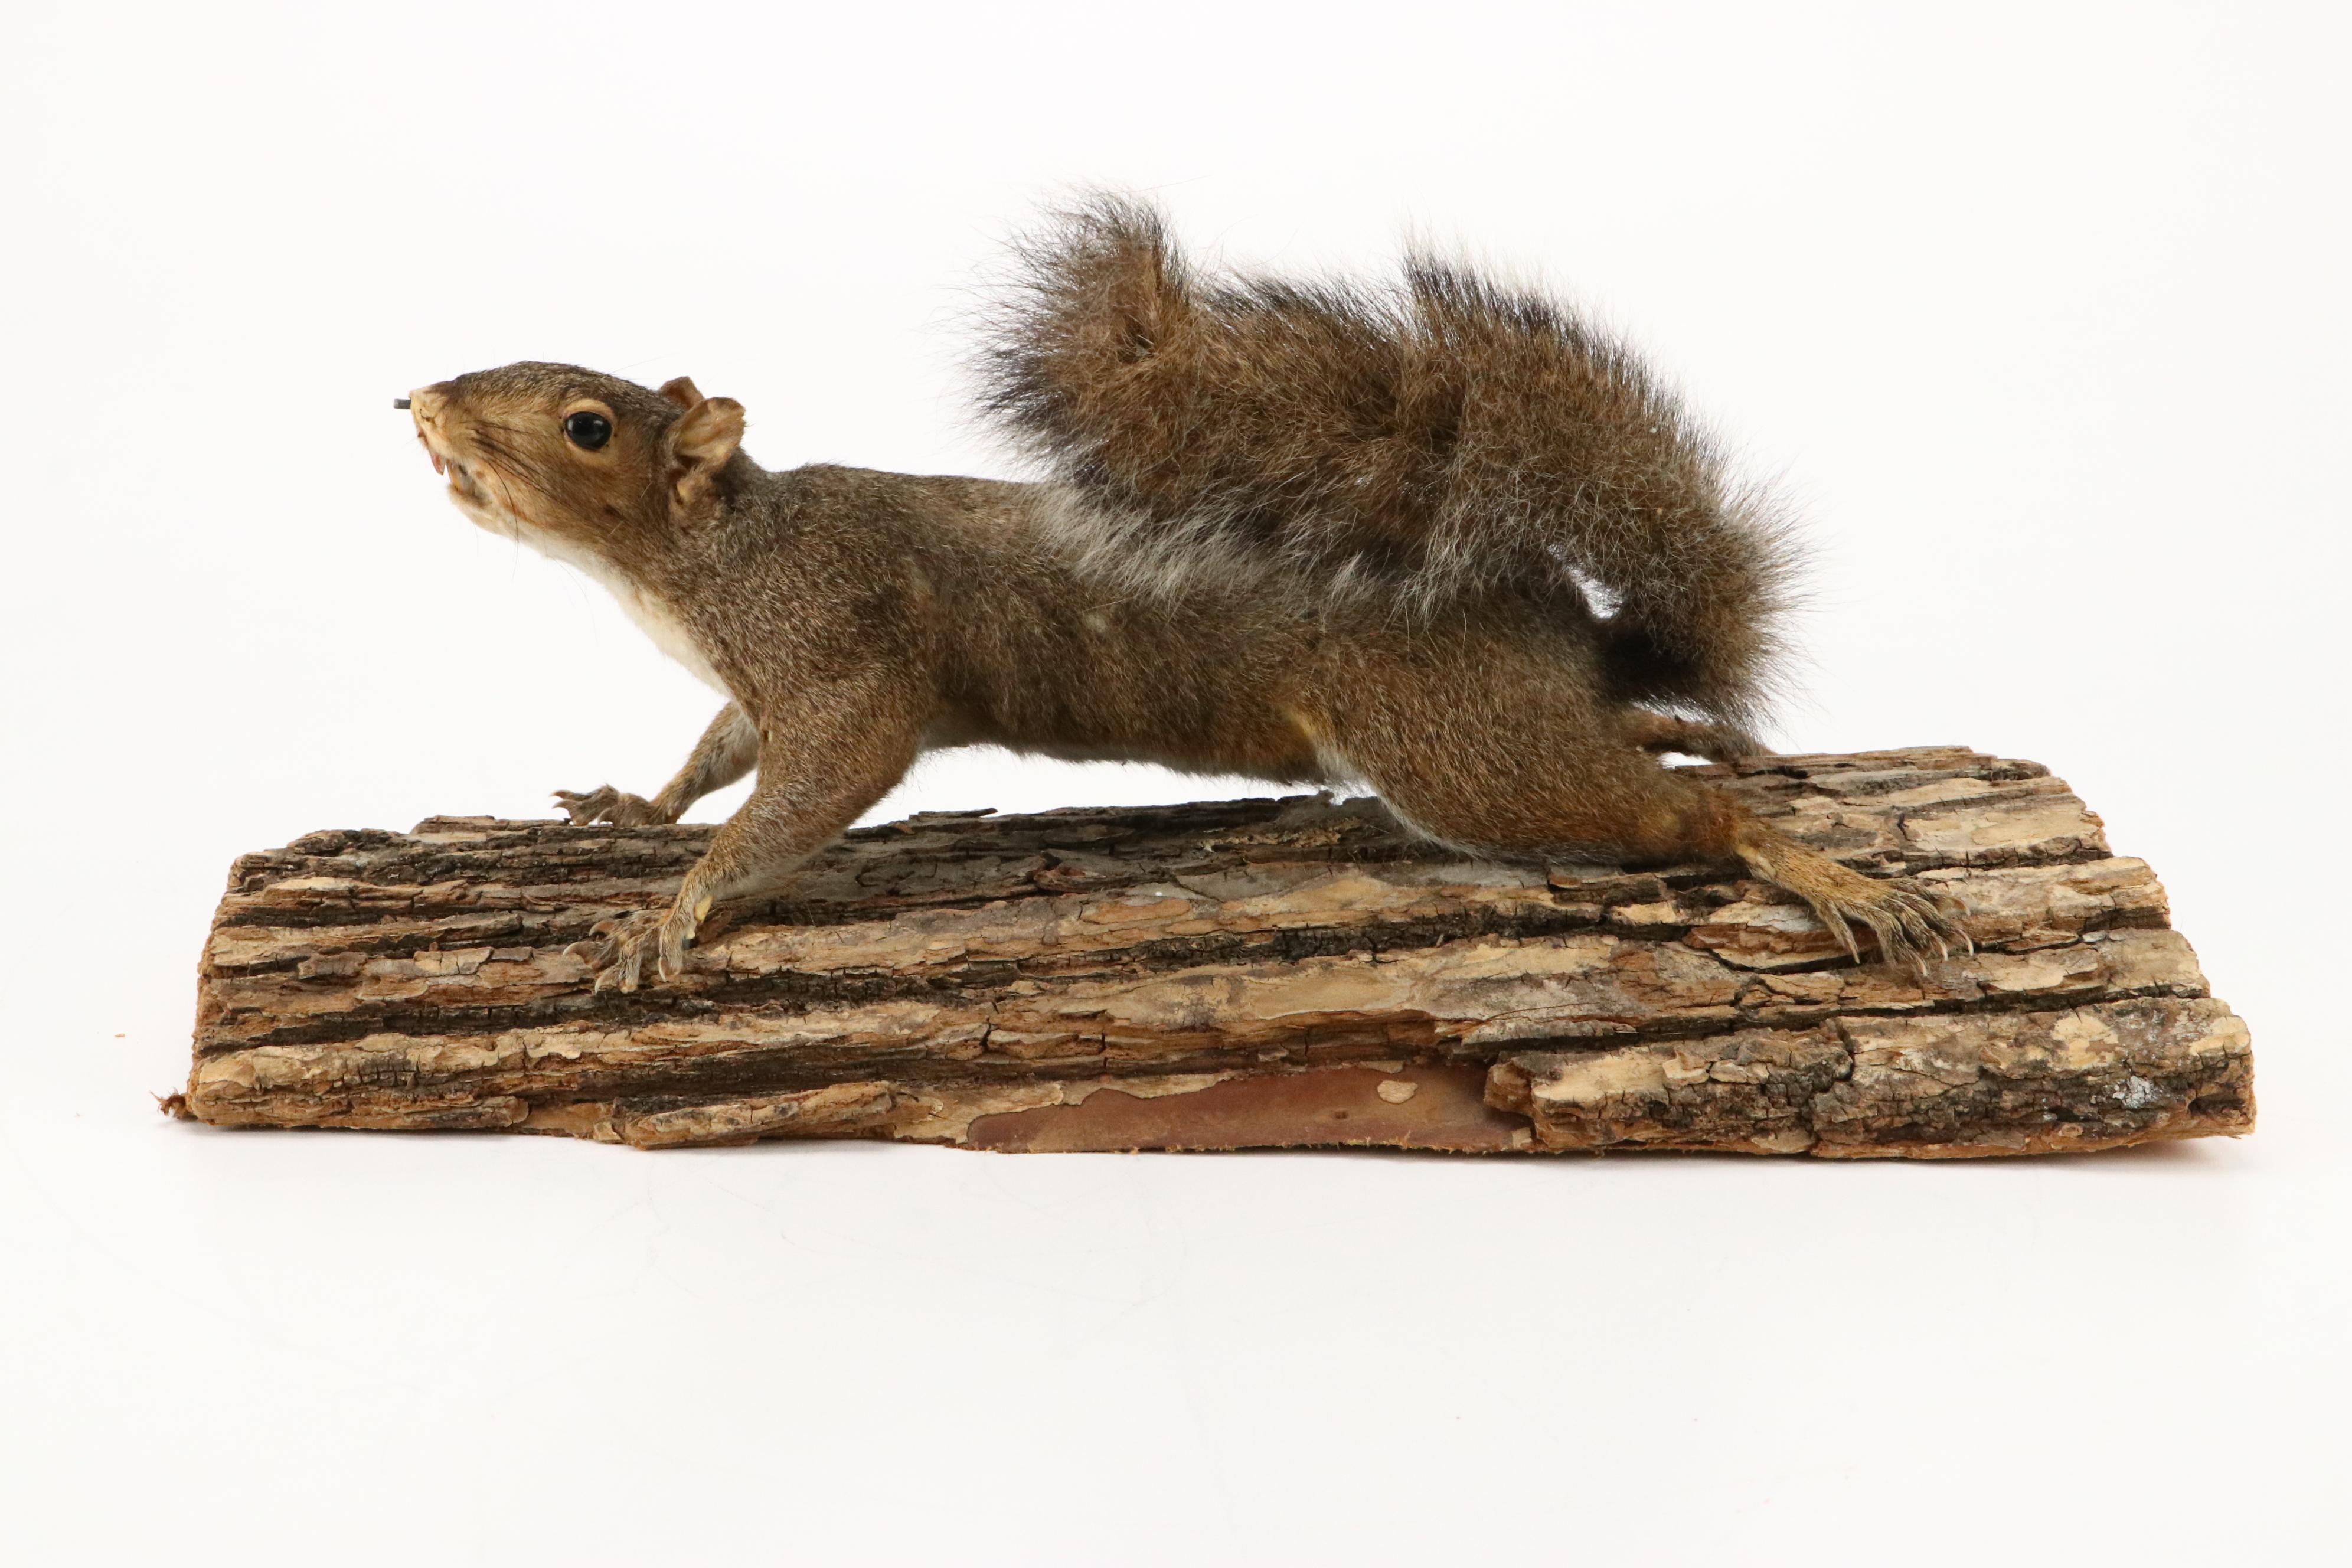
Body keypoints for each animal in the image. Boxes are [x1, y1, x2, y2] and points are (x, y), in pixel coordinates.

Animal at [403, 194, 1964, 991]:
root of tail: (1566, 624)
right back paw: (1673, 727)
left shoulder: (838, 645)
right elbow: (714, 758)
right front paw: (634, 808)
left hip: (1462, 751)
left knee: (1675, 818)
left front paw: (674, 906)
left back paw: (1805, 861)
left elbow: (817, 779)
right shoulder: (746, 684)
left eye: (586, 424)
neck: (700, 561)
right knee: (1635, 740)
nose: (418, 402)